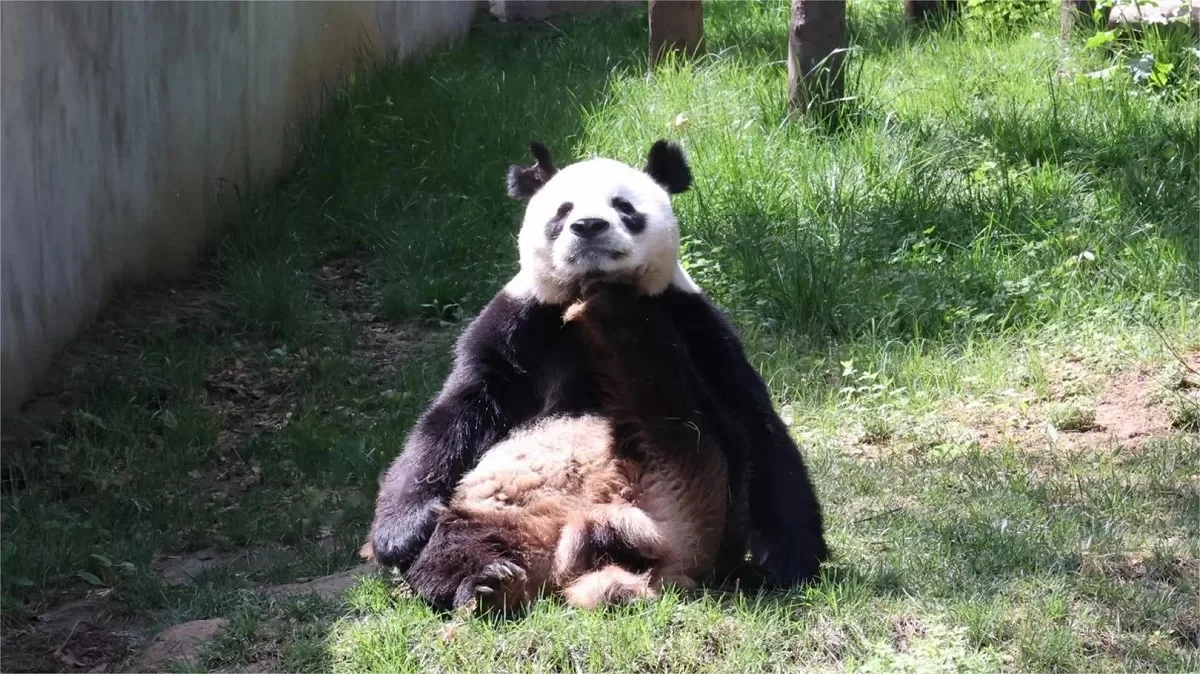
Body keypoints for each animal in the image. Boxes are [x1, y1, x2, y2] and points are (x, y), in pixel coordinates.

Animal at [364, 139, 828, 612]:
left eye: (624, 207)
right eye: (562, 211)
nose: (588, 226)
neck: (585, 287)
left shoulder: (694, 322)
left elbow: (756, 420)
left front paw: (791, 561)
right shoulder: (520, 324)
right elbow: (457, 412)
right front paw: (400, 533)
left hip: (698, 475)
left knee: (676, 403)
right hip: (499, 513)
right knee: (459, 545)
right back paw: (487, 584)